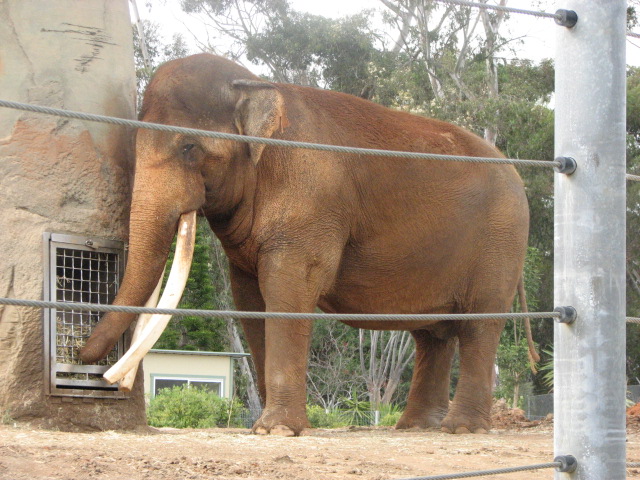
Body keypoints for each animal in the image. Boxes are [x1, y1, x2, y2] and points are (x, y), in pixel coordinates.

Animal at [80, 53, 530, 436]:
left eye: (189, 147)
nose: (85, 359)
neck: (256, 85)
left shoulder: (310, 205)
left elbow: (288, 291)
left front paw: (276, 430)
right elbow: (250, 301)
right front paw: (264, 427)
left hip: (502, 240)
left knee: (479, 324)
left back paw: (462, 429)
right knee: (432, 335)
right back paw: (417, 428)